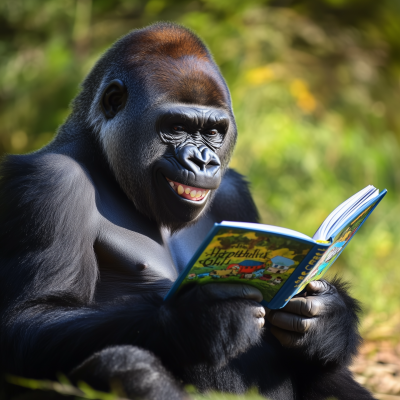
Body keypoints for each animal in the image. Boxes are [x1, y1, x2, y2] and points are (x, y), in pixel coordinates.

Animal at [0, 22, 376, 400]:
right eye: (178, 127)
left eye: (212, 132)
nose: (203, 161)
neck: (102, 158)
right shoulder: (51, 182)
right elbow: (26, 322)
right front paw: (200, 319)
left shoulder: (234, 191)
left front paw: (329, 319)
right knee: (126, 364)